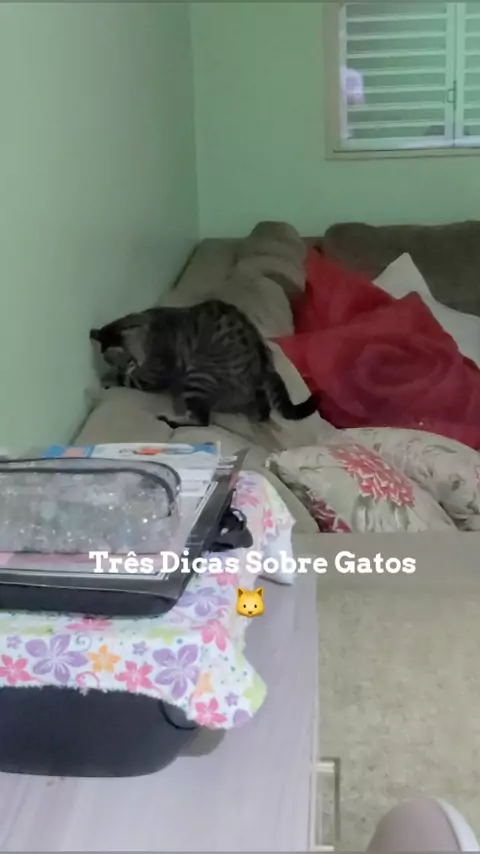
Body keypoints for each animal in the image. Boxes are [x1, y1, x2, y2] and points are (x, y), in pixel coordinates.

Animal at [90, 300, 318, 427]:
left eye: (125, 362)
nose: (123, 368)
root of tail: (264, 364)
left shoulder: (155, 373)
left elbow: (128, 379)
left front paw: (107, 378)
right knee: (263, 410)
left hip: (199, 375)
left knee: (201, 420)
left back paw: (170, 419)